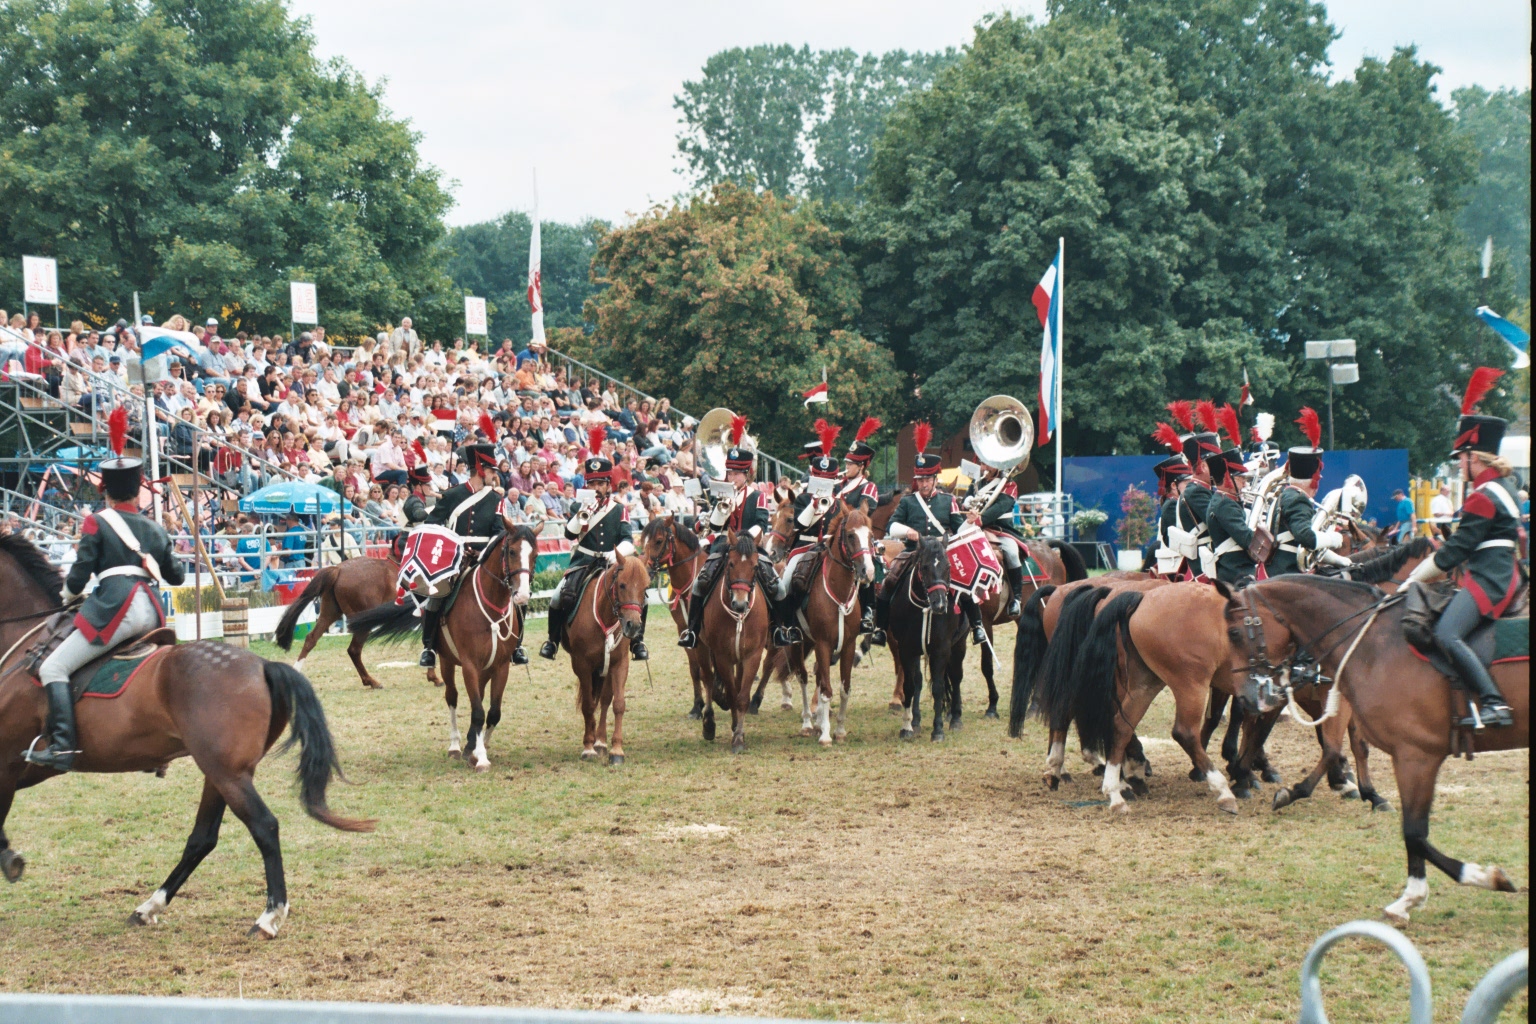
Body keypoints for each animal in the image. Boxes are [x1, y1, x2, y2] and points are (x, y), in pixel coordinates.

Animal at [0, 534, 370, 939]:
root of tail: (263, 665)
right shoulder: (23, 768)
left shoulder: (7, 762)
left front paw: (8, 857)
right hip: (220, 773)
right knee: (203, 838)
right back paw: (150, 906)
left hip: (227, 774)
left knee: (264, 826)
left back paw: (269, 916)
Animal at [348, 528, 540, 767]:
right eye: (512, 551)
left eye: (535, 555)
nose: (522, 595)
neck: (491, 607)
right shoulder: (469, 664)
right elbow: (477, 711)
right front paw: (480, 757)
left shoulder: (500, 666)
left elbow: (493, 712)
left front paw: (479, 747)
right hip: (448, 662)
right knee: (452, 697)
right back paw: (456, 746)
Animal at [562, 552, 645, 761]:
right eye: (622, 585)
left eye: (645, 587)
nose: (633, 626)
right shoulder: (582, 665)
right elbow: (588, 705)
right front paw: (587, 747)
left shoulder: (619, 663)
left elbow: (618, 703)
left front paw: (617, 750)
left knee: (605, 699)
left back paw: (600, 740)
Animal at [694, 528, 768, 752]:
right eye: (731, 564)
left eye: (755, 566)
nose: (740, 604)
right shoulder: (722, 657)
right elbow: (731, 693)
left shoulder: (752, 656)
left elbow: (741, 696)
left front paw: (739, 737)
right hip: (702, 647)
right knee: (708, 679)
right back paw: (709, 723)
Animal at [1222, 577, 1523, 927]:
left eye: (1235, 632)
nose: (1245, 690)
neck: (1372, 642)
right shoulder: (1403, 746)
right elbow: (1410, 826)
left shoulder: (1403, 746)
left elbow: (1349, 751)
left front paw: (1357, 789)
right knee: (1253, 724)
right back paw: (1242, 773)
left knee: (1256, 724)